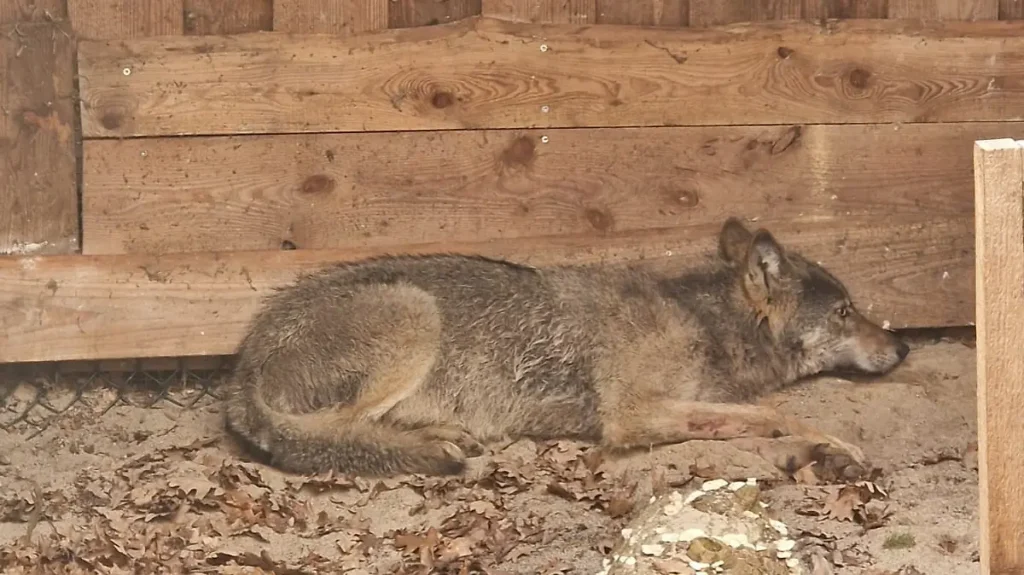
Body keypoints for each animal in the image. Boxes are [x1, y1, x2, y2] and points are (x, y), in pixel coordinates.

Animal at [222, 217, 909, 480]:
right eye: (846, 312)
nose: (903, 346)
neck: (702, 321)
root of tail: (243, 365)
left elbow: (759, 416)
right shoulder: (631, 416)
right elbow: (776, 413)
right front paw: (836, 447)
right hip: (415, 313)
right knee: (335, 434)